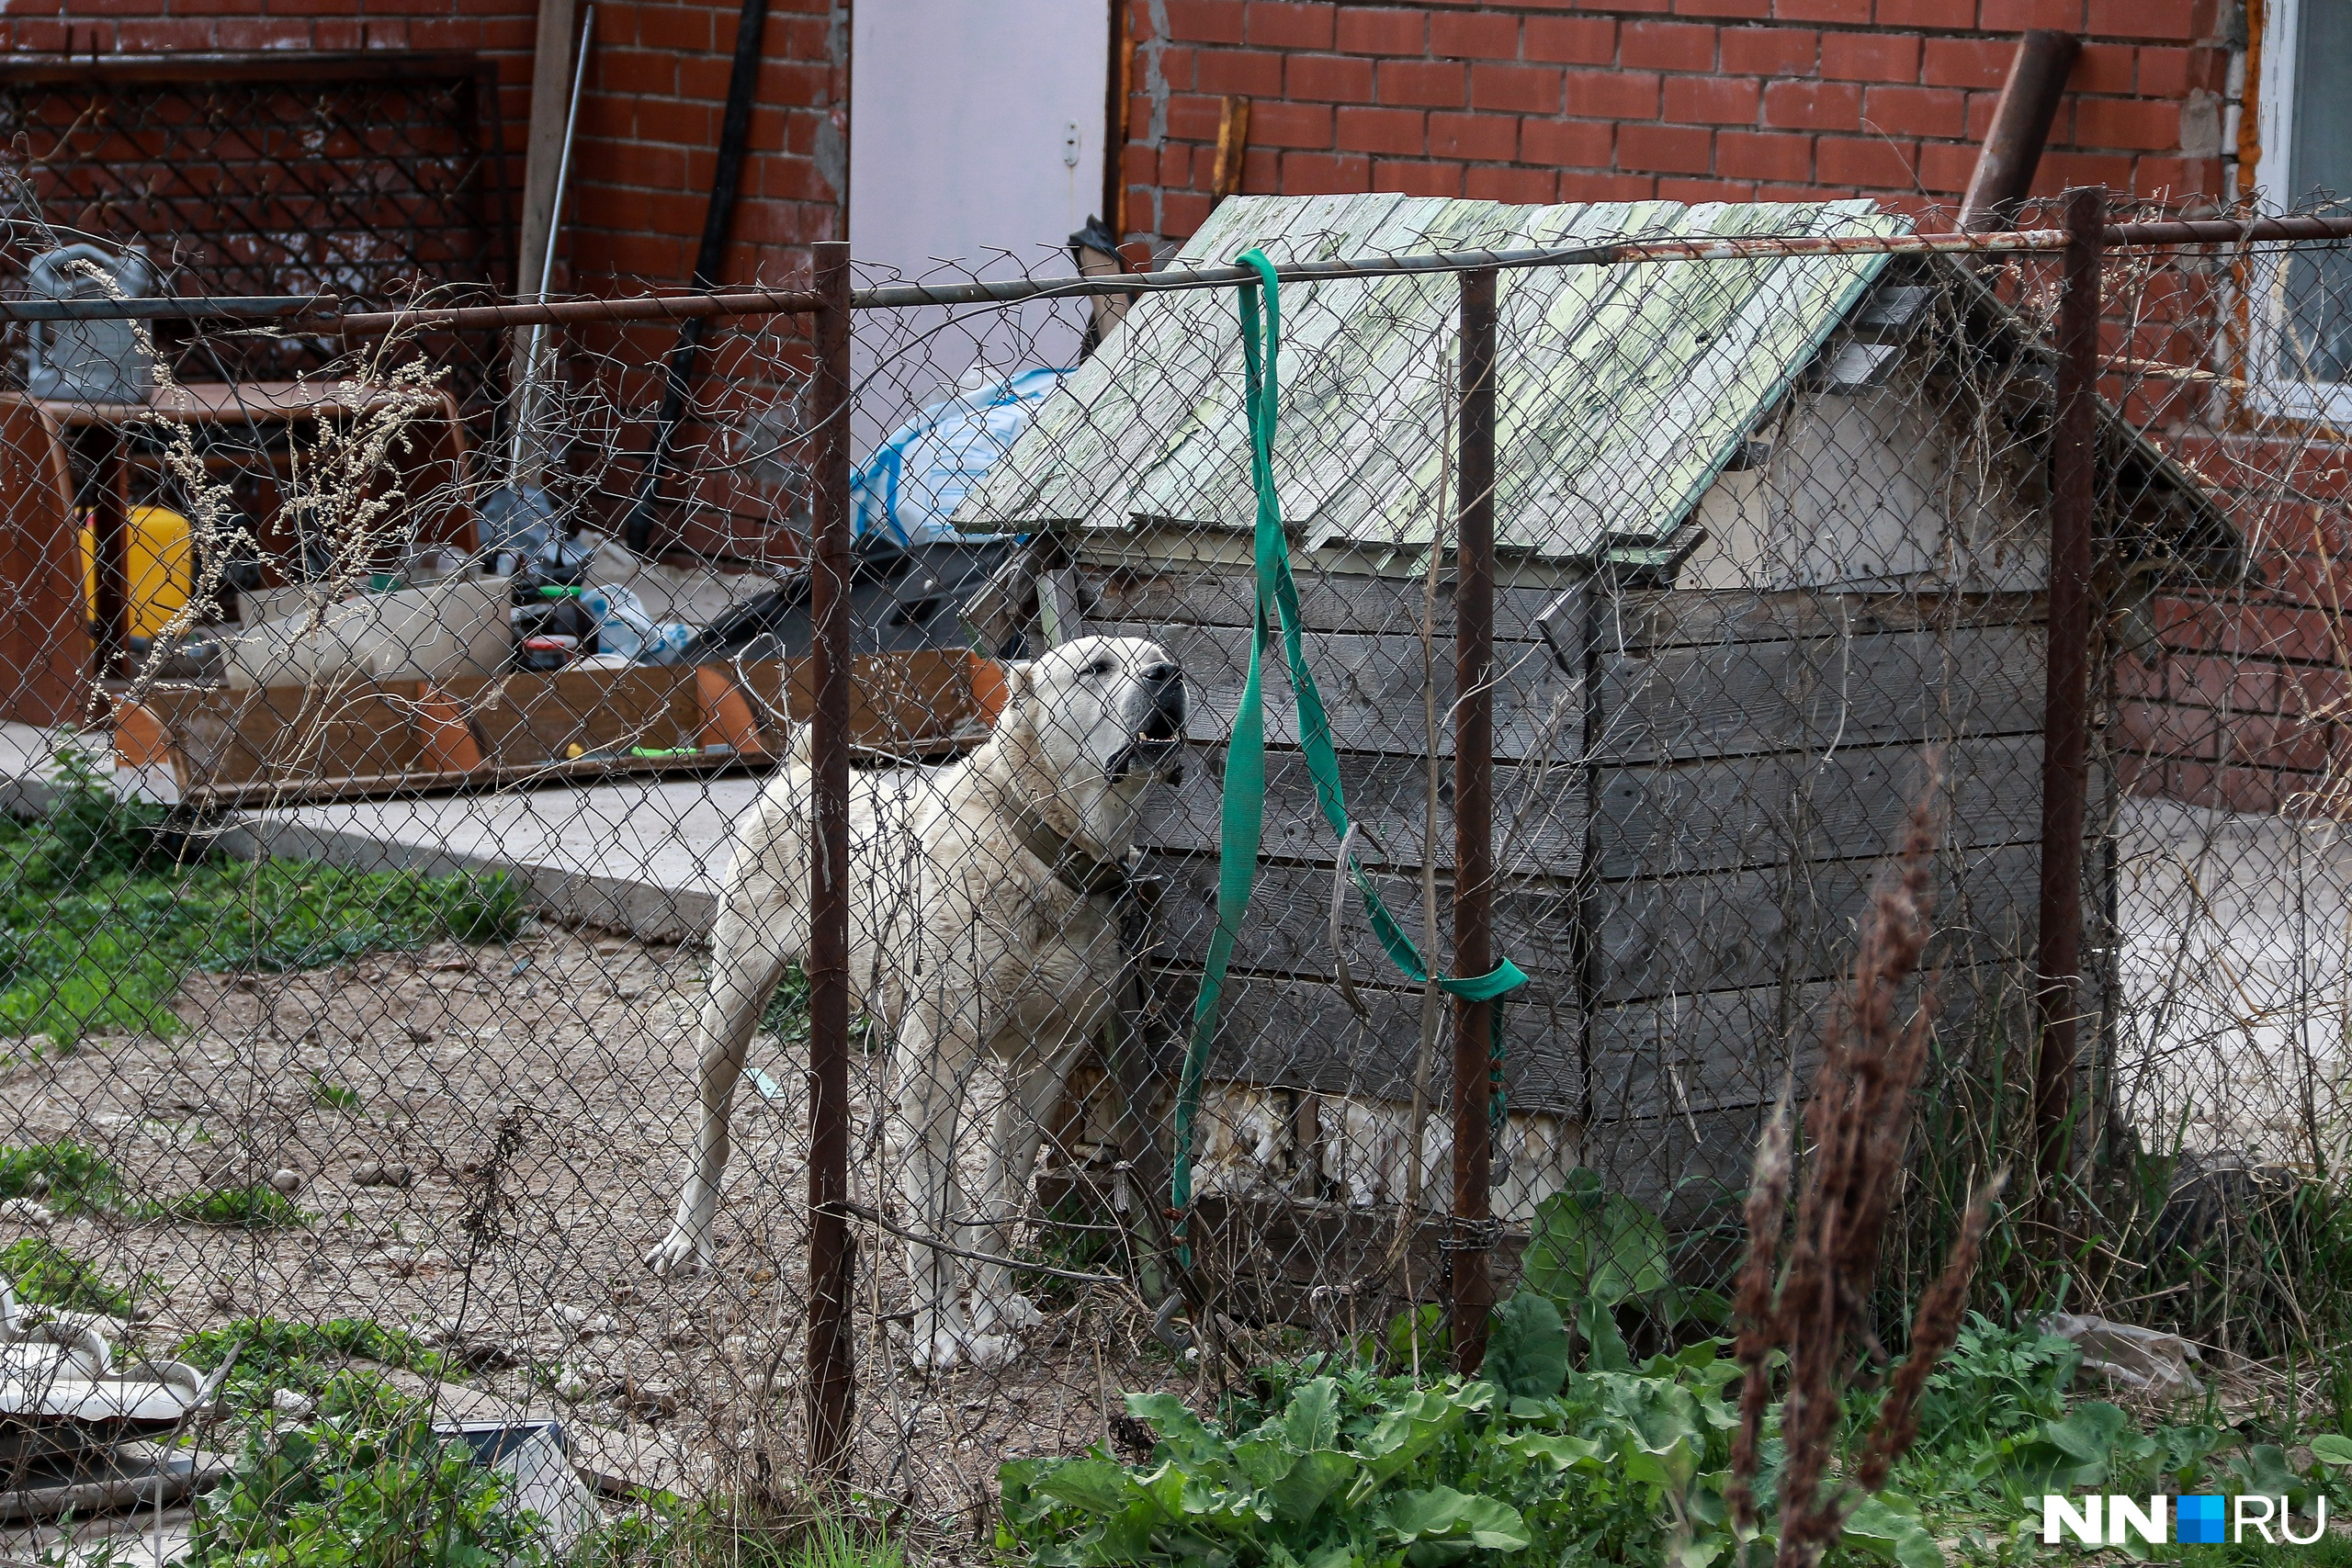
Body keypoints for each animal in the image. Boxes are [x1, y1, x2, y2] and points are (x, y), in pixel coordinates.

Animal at [649, 629, 1185, 1363]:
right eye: (1095, 668)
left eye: (1160, 655)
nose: (1170, 676)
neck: (1043, 845)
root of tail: (795, 770)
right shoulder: (934, 1062)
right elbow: (927, 1218)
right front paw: (942, 1335)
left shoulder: (1044, 1064)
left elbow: (1000, 1196)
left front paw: (992, 1307)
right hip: (733, 1006)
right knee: (713, 1126)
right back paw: (687, 1237)